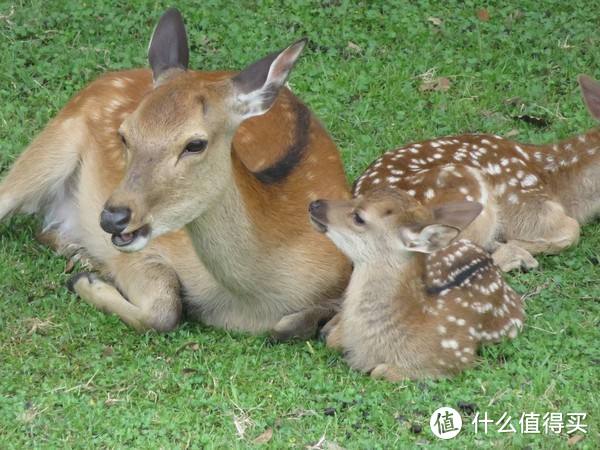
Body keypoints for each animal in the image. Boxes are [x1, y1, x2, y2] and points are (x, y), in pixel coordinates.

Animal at [0, 8, 352, 338]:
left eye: (195, 144)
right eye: (124, 134)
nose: (113, 217)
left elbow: (297, 326)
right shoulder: (145, 250)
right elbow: (165, 309)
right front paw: (85, 281)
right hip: (52, 143)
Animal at [312, 188, 524, 382]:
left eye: (359, 218)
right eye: (359, 196)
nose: (315, 204)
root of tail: (489, 261)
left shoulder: (451, 359)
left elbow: (378, 371)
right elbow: (332, 340)